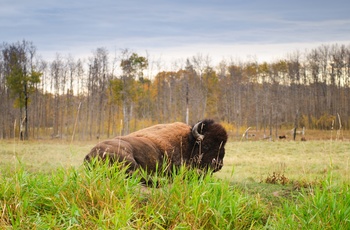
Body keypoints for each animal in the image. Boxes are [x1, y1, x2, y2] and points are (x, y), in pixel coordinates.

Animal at [83, 118, 228, 176]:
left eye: (223, 147)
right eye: (207, 145)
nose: (218, 165)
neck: (189, 141)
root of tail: (89, 155)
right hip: (128, 158)